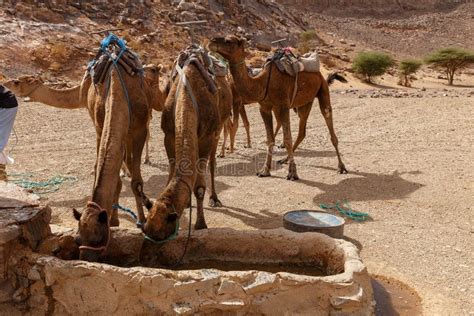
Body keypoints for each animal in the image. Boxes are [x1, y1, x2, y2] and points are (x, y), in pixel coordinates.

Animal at [142, 45, 232, 241]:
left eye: (161, 235)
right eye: (145, 229)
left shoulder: (206, 137)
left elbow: (199, 186)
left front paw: (200, 224)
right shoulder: (169, 135)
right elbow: (172, 172)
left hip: (218, 129)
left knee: (212, 162)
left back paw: (214, 198)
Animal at [209, 35, 346, 179]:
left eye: (229, 41)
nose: (211, 41)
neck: (262, 82)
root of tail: (320, 73)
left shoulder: (283, 105)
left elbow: (287, 138)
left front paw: (292, 173)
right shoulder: (264, 108)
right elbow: (270, 139)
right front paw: (265, 170)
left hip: (323, 90)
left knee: (329, 123)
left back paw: (341, 167)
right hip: (305, 103)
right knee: (302, 131)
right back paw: (284, 159)